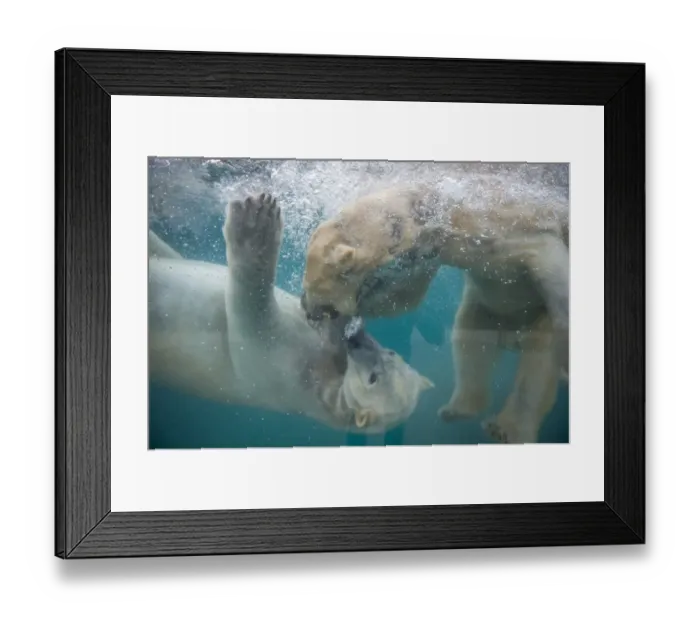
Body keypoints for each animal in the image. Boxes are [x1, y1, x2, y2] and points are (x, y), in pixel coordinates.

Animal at [148, 192, 435, 435]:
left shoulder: (287, 376)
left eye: (373, 378)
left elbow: (251, 327)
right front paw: (332, 318)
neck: (332, 378)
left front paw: (256, 226)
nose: (356, 341)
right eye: (392, 353)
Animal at [300, 176, 569, 444]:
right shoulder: (427, 255)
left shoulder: (514, 229)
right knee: (469, 343)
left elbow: (551, 267)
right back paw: (457, 410)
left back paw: (506, 429)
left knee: (537, 368)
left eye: (312, 286)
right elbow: (406, 296)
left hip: (538, 320)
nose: (307, 308)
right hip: (484, 311)